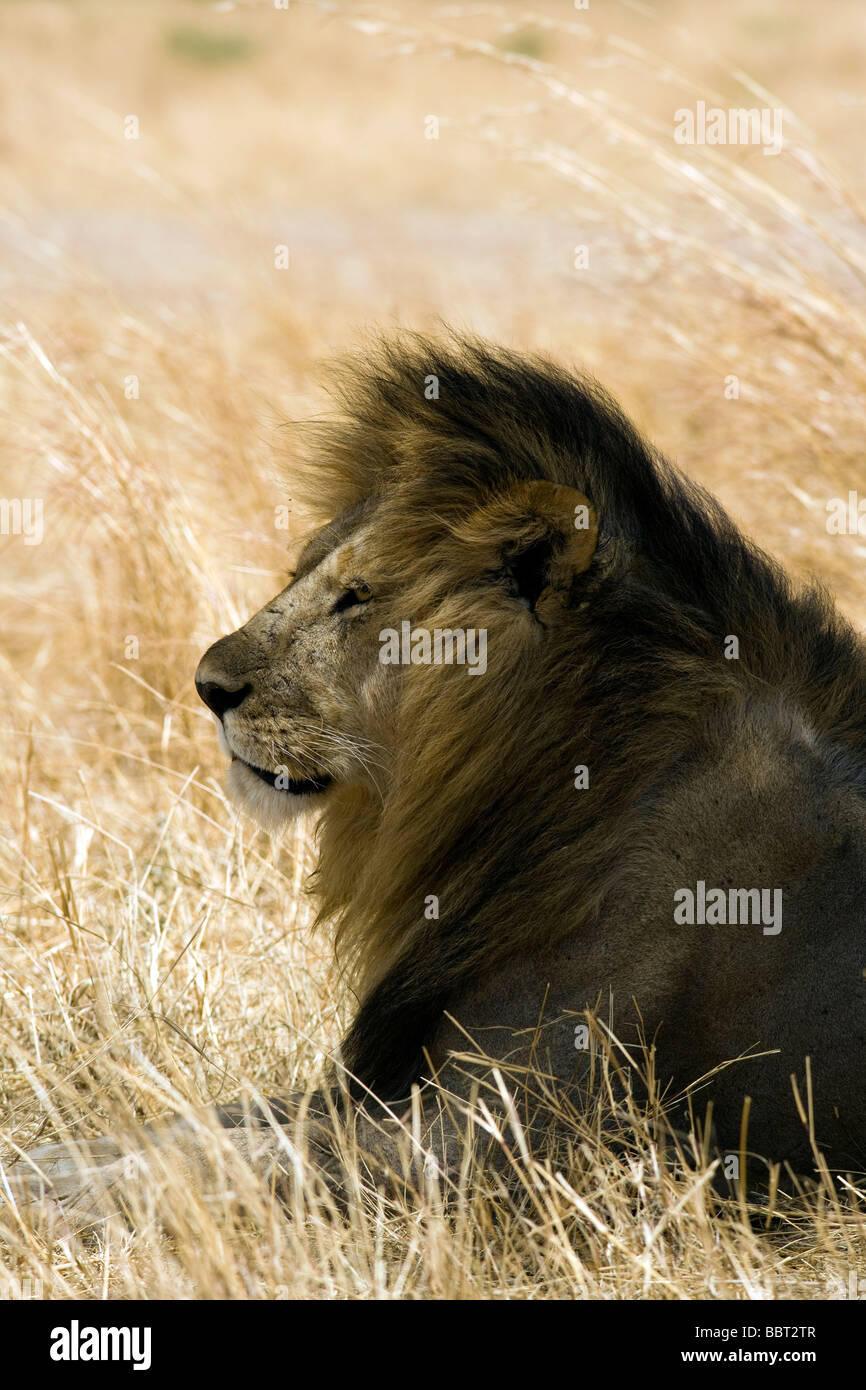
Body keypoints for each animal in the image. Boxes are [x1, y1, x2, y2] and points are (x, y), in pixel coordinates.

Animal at [9, 332, 866, 1223]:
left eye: (356, 597)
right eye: (300, 574)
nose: (209, 687)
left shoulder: (515, 1146)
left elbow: (227, 1161)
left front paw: (44, 1202)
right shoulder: (390, 1086)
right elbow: (189, 1127)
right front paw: (42, 1161)